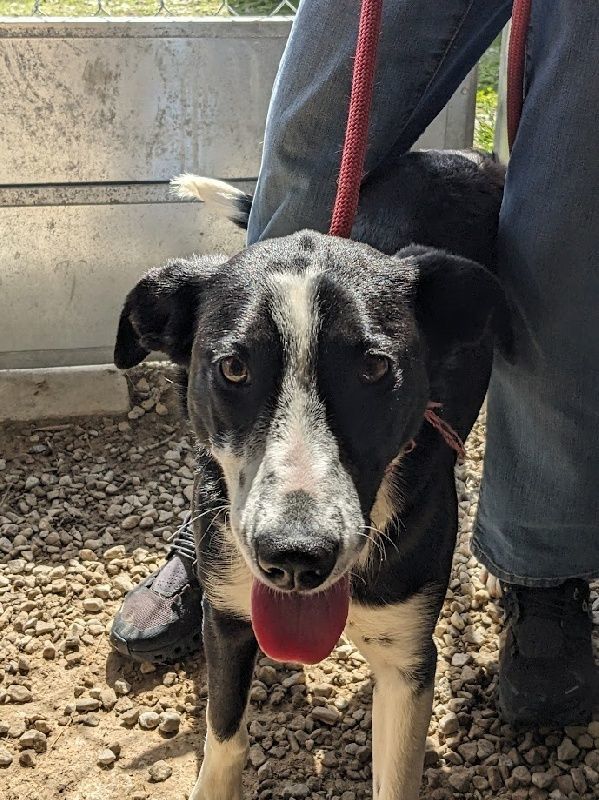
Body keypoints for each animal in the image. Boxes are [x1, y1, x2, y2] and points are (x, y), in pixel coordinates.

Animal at [113, 152, 510, 800]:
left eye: (375, 369)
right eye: (233, 367)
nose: (296, 558)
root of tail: (464, 155)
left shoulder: (407, 658)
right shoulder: (226, 612)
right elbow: (224, 734)